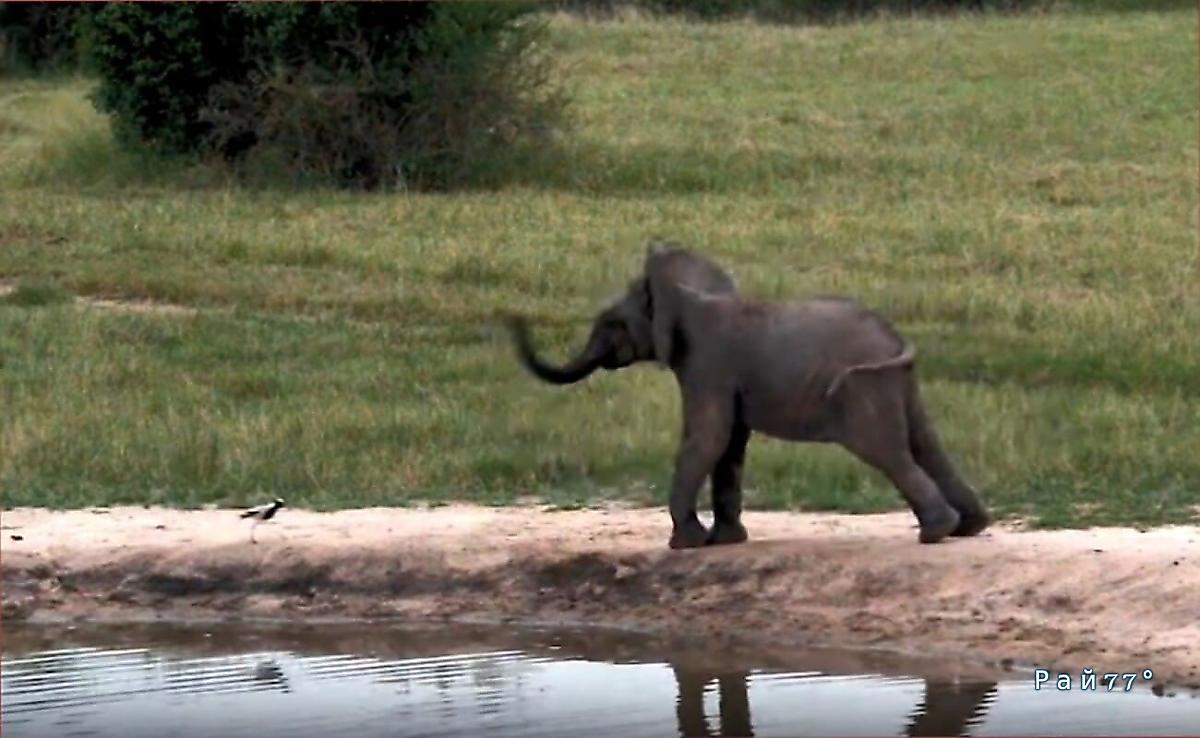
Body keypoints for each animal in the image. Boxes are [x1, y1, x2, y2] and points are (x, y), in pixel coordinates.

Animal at [506, 242, 984, 549]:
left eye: (612, 324)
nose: (514, 318)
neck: (687, 293)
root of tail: (896, 339)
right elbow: (730, 446)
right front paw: (725, 541)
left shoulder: (707, 365)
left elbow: (708, 438)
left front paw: (686, 544)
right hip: (897, 384)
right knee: (925, 444)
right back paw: (967, 528)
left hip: (865, 388)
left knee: (887, 452)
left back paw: (936, 533)